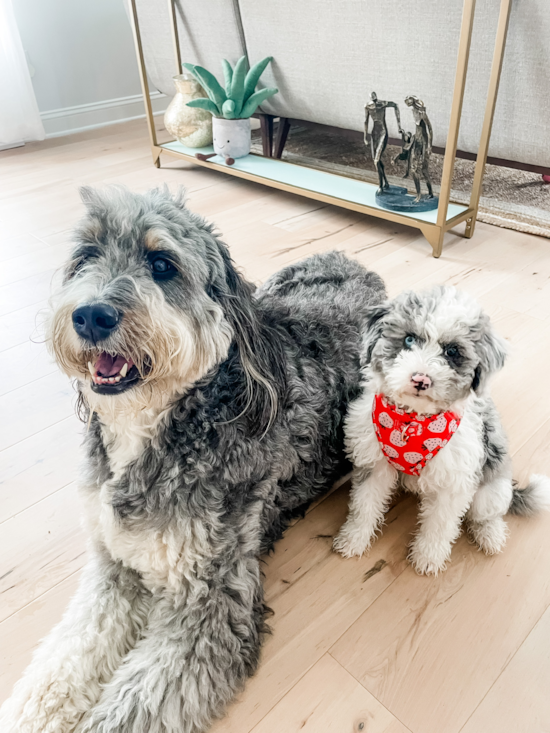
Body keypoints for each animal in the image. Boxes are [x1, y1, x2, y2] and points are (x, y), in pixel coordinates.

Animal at [0, 187, 386, 732]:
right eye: (86, 256)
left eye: (162, 264)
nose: (91, 315)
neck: (155, 426)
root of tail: (356, 264)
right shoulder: (114, 567)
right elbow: (63, 663)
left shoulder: (210, 605)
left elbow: (124, 712)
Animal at [334, 284, 548, 576]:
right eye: (409, 339)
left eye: (452, 352)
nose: (420, 379)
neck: (412, 422)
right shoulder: (374, 465)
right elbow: (364, 505)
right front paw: (354, 538)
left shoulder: (453, 483)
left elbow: (439, 525)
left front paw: (428, 557)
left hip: (490, 488)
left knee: (487, 514)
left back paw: (490, 535)